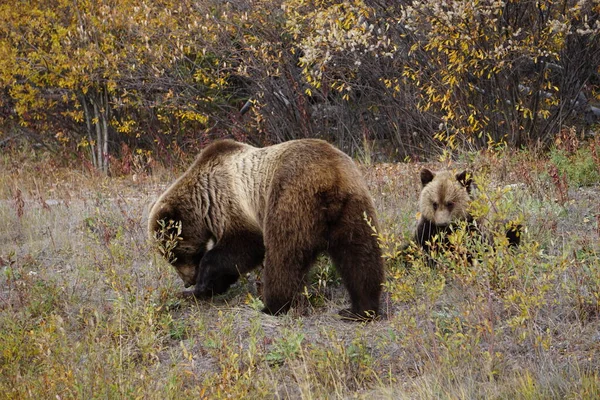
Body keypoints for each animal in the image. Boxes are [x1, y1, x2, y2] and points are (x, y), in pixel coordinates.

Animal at [150, 139, 384, 320]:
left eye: (174, 255)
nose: (187, 281)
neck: (203, 201)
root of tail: (329, 178)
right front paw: (207, 288)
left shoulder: (229, 200)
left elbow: (244, 245)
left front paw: (201, 286)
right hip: (353, 207)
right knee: (360, 256)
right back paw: (361, 310)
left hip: (290, 198)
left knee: (283, 256)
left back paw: (272, 306)